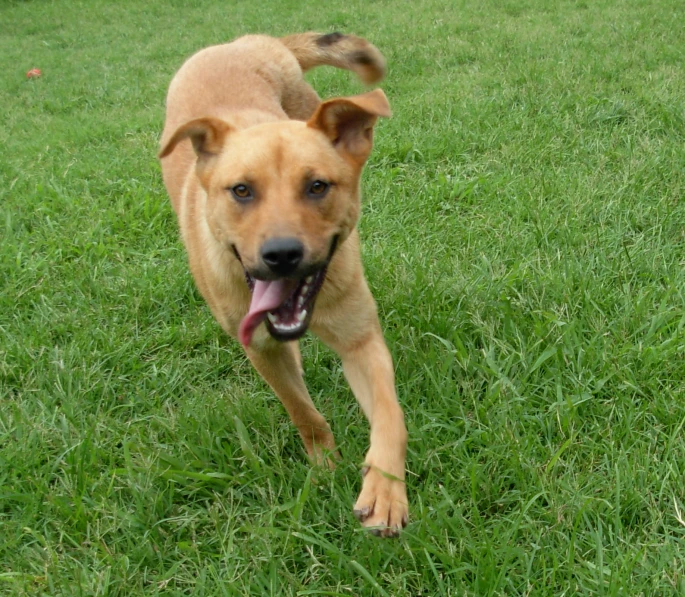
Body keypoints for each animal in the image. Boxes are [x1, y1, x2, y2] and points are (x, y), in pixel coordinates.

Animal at [159, 31, 406, 536]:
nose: (282, 255)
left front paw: (385, 487)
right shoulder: (260, 348)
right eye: (241, 191)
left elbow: (390, 413)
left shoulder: (360, 339)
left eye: (317, 186)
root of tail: (248, 40)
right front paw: (325, 463)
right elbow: (301, 410)